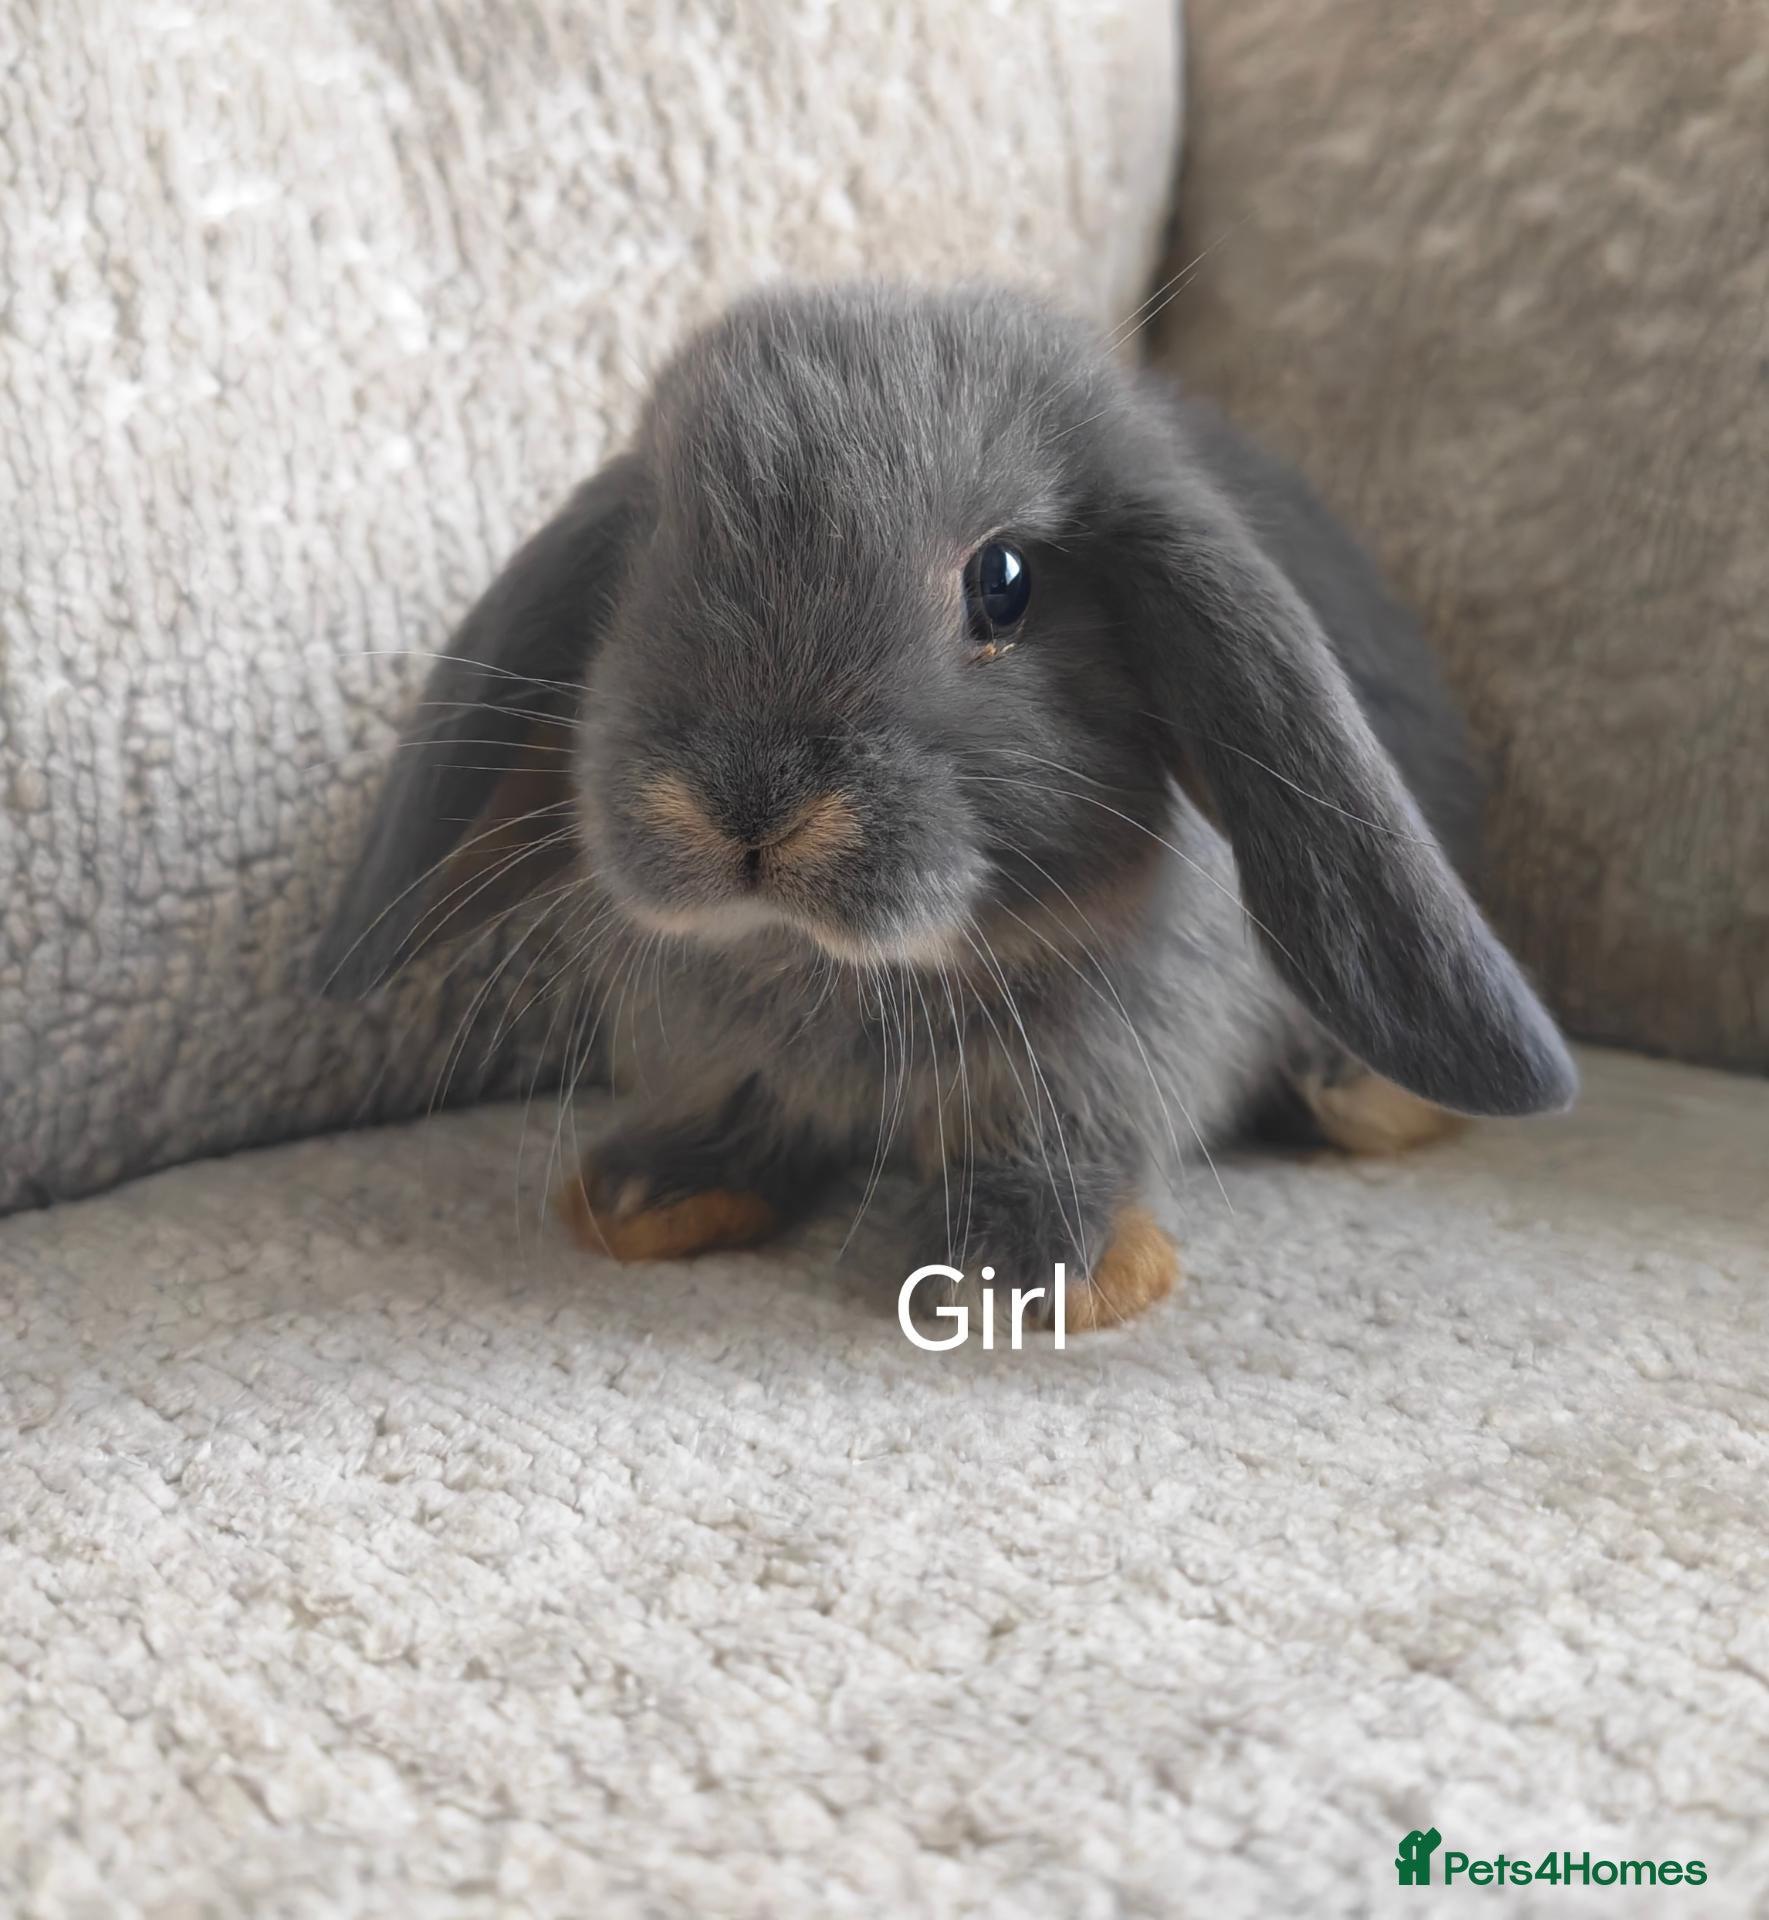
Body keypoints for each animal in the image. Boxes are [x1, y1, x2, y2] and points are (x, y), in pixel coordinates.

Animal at [316, 281, 1575, 1331]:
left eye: (1002, 582)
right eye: (648, 556)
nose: (743, 805)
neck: (848, 973)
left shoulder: (1114, 1053)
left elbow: (1063, 1133)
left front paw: (1039, 1269)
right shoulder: (720, 1052)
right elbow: (731, 1111)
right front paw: (644, 1192)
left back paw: (1355, 1096)